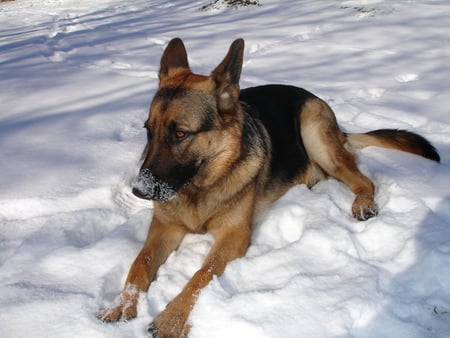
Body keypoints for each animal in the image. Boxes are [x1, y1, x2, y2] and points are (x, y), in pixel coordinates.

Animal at [98, 37, 440, 336]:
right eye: (148, 131)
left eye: (180, 134)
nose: (139, 191)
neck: (202, 186)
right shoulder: (164, 227)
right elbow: (139, 264)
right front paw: (122, 303)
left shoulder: (235, 236)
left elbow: (201, 275)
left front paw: (171, 319)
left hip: (315, 134)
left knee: (362, 179)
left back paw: (362, 202)